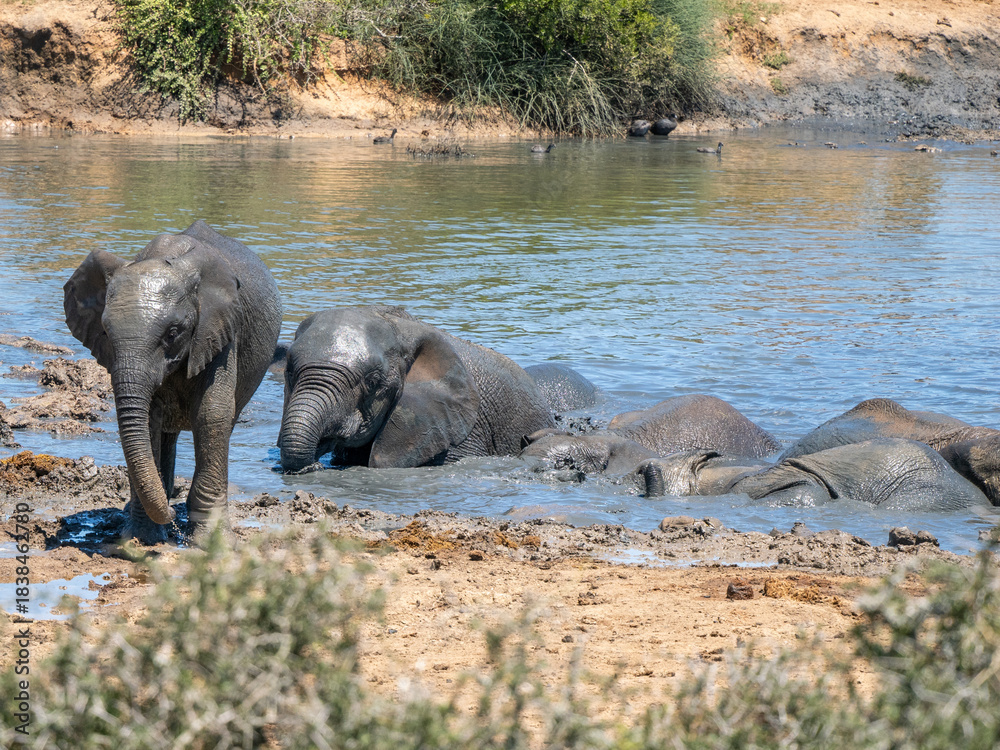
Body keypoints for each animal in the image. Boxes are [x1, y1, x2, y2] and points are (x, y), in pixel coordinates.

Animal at [64, 220, 282, 543]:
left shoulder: (220, 330)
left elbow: (212, 413)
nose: (172, 518)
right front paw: (142, 538)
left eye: (173, 333)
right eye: (105, 332)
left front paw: (209, 541)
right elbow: (149, 418)